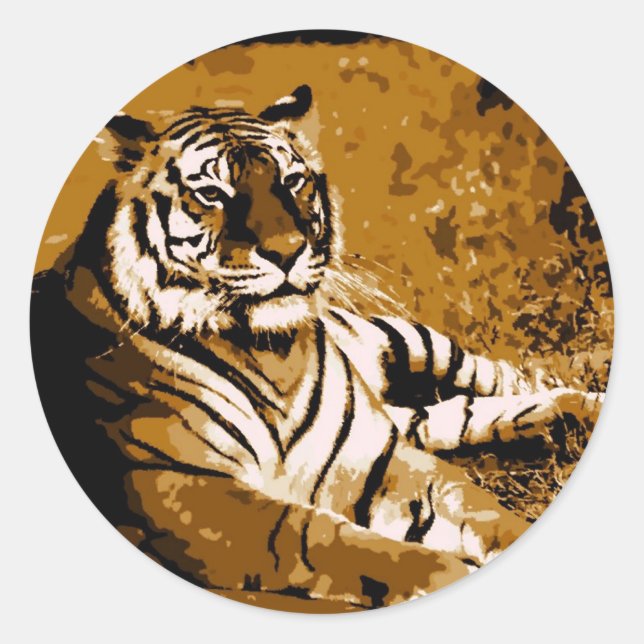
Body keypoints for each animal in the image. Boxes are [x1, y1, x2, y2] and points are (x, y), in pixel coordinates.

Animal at [31, 84, 602, 612]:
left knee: (498, 376)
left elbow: (476, 508)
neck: (273, 354)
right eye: (212, 193)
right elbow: (331, 540)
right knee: (454, 413)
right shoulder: (187, 488)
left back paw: (585, 403)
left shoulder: (376, 458)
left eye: (291, 181)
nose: (287, 251)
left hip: (408, 342)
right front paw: (444, 574)